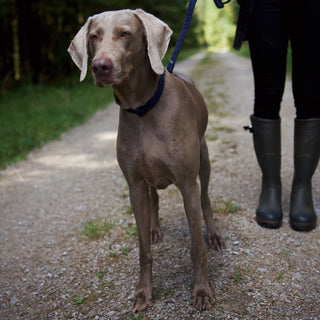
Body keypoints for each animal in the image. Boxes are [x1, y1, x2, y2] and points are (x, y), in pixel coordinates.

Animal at [69, 8, 226, 312]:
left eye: (125, 33)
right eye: (93, 37)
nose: (99, 66)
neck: (141, 109)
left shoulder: (187, 185)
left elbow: (196, 247)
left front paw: (202, 291)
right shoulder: (135, 186)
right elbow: (143, 249)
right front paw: (143, 292)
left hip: (204, 160)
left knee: (206, 200)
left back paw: (213, 235)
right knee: (155, 199)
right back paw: (155, 228)